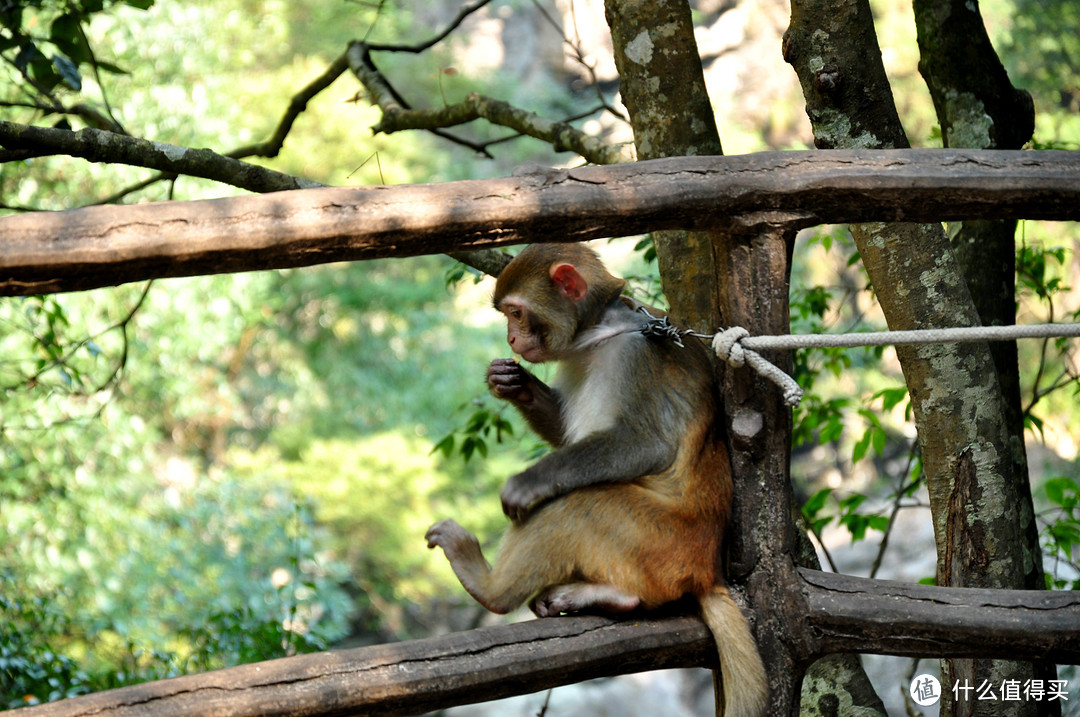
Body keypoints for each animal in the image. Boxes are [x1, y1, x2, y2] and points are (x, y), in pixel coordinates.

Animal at [423, 241, 768, 717]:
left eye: (516, 312)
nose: (511, 338)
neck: (602, 331)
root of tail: (707, 570)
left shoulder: (637, 357)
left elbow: (645, 445)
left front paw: (528, 482)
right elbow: (565, 432)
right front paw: (512, 382)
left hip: (657, 542)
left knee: (575, 503)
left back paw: (488, 586)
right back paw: (610, 598)